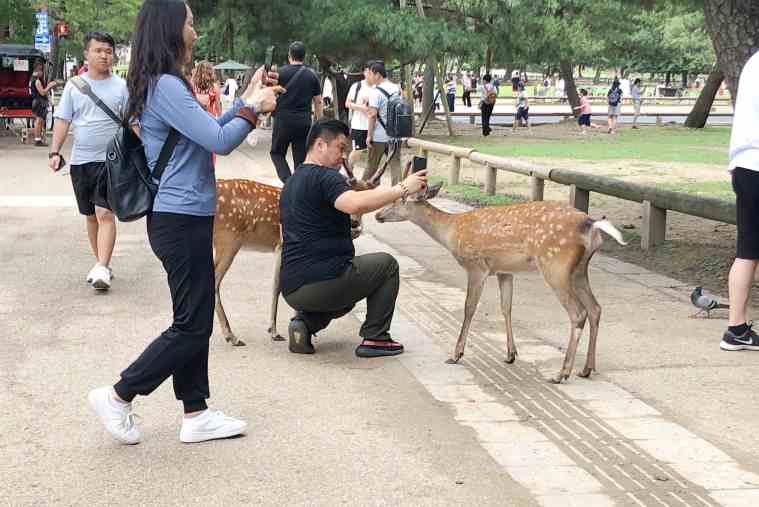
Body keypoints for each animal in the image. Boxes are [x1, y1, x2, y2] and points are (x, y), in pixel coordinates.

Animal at [212, 148, 375, 346]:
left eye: (365, 205)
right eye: (345, 193)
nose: (355, 225)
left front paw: (281, 326)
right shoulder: (282, 245)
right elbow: (278, 285)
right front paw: (278, 330)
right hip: (228, 238)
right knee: (215, 280)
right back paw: (232, 336)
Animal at [374, 162, 627, 384]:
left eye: (400, 200)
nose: (378, 215)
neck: (451, 233)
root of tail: (591, 225)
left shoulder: (476, 266)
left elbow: (469, 308)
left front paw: (456, 354)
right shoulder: (504, 271)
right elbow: (506, 307)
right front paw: (510, 354)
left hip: (555, 265)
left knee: (578, 313)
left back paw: (561, 373)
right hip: (579, 269)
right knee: (595, 309)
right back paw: (586, 369)